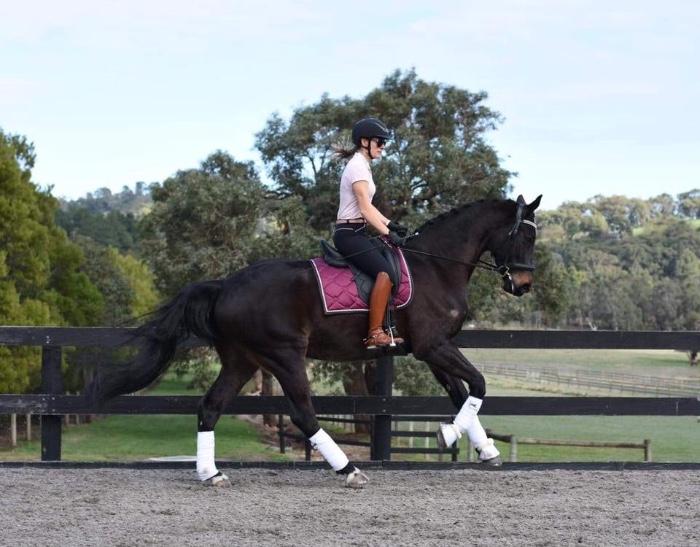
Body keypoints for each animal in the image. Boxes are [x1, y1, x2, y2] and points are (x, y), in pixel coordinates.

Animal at [87, 194, 541, 488]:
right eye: (525, 237)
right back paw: (348, 471)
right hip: (285, 356)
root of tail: (225, 285)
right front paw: (448, 436)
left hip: (242, 360)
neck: (436, 266)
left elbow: (462, 393)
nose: (523, 285)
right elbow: (478, 384)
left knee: (211, 407)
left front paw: (484, 449)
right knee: (304, 414)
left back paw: (210, 473)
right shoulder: (433, 346)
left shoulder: (430, 350)